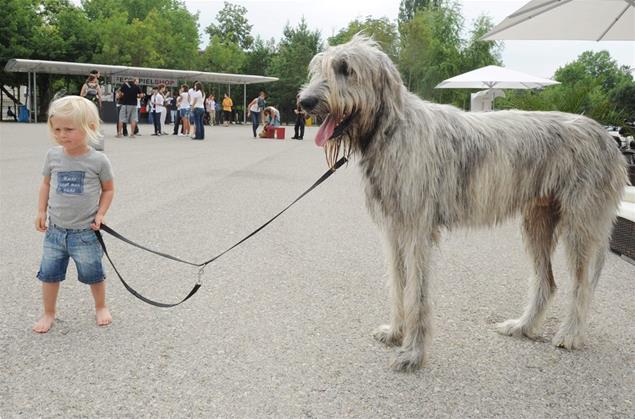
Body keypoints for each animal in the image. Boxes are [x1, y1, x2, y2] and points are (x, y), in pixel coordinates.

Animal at [296, 35, 628, 370]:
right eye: (319, 68)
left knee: (581, 284)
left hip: (580, 225)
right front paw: (395, 332)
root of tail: (608, 138)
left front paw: (413, 352)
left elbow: (417, 293)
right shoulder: (394, 230)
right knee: (547, 281)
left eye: (346, 69)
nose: (305, 102)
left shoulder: (418, 230)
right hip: (537, 222)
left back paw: (570, 334)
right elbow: (398, 284)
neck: (391, 131)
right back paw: (522, 326)